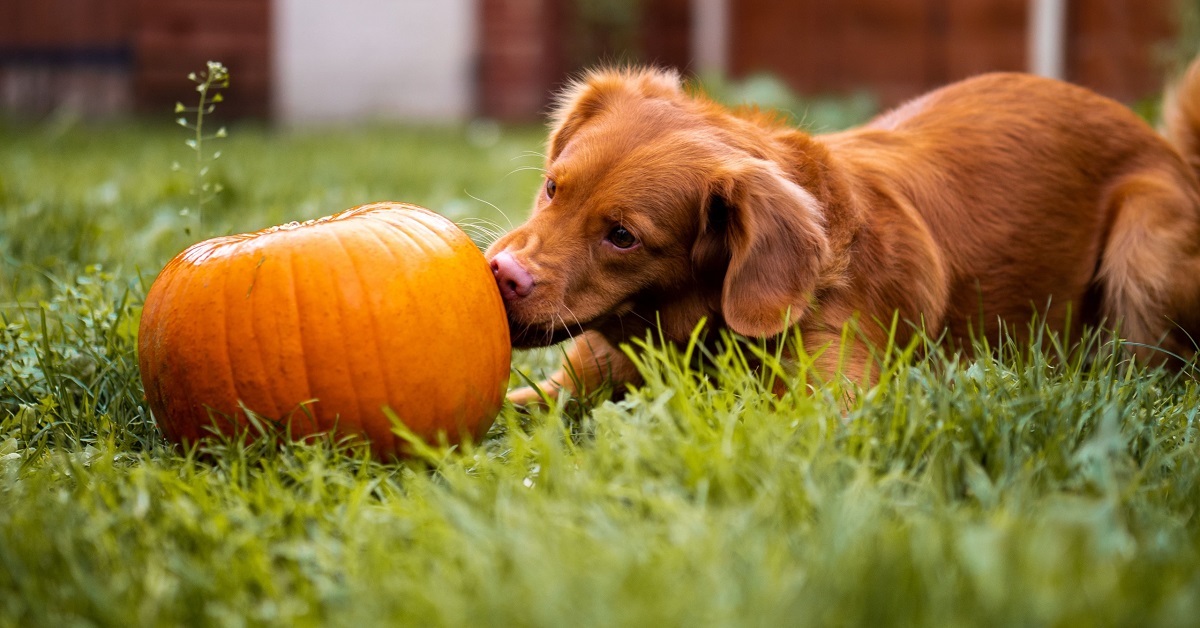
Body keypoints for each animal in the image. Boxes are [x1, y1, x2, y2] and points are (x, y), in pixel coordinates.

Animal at [484, 60, 1200, 403]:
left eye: (623, 237)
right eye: (553, 188)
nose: (503, 275)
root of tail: (1166, 149)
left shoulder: (831, 407)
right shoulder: (569, 384)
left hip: (1144, 246)